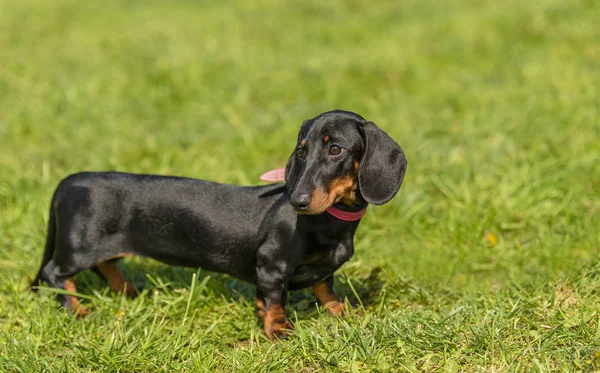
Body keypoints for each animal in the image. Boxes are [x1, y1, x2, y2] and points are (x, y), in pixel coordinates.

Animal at [32, 109, 408, 338]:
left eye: (335, 150)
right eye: (301, 151)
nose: (297, 201)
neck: (330, 221)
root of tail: (70, 180)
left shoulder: (322, 272)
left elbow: (326, 290)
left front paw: (345, 314)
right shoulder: (271, 266)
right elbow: (275, 301)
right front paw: (278, 330)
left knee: (106, 265)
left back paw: (130, 291)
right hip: (78, 247)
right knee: (56, 273)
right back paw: (77, 309)